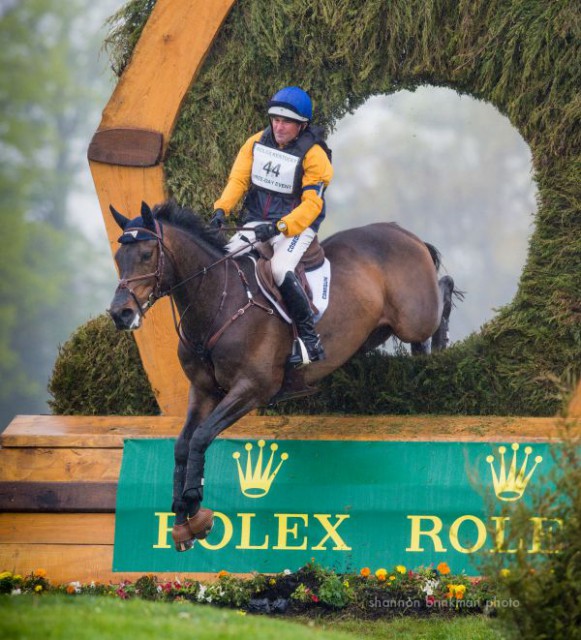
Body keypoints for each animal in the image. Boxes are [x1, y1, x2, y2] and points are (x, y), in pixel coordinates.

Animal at [106, 199, 456, 552]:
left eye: (147, 254)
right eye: (119, 258)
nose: (121, 314)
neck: (219, 301)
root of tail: (402, 231)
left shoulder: (252, 388)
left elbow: (202, 437)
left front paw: (195, 506)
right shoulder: (203, 391)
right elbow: (182, 444)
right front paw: (181, 521)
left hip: (414, 317)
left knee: (442, 295)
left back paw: (442, 348)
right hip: (377, 330)